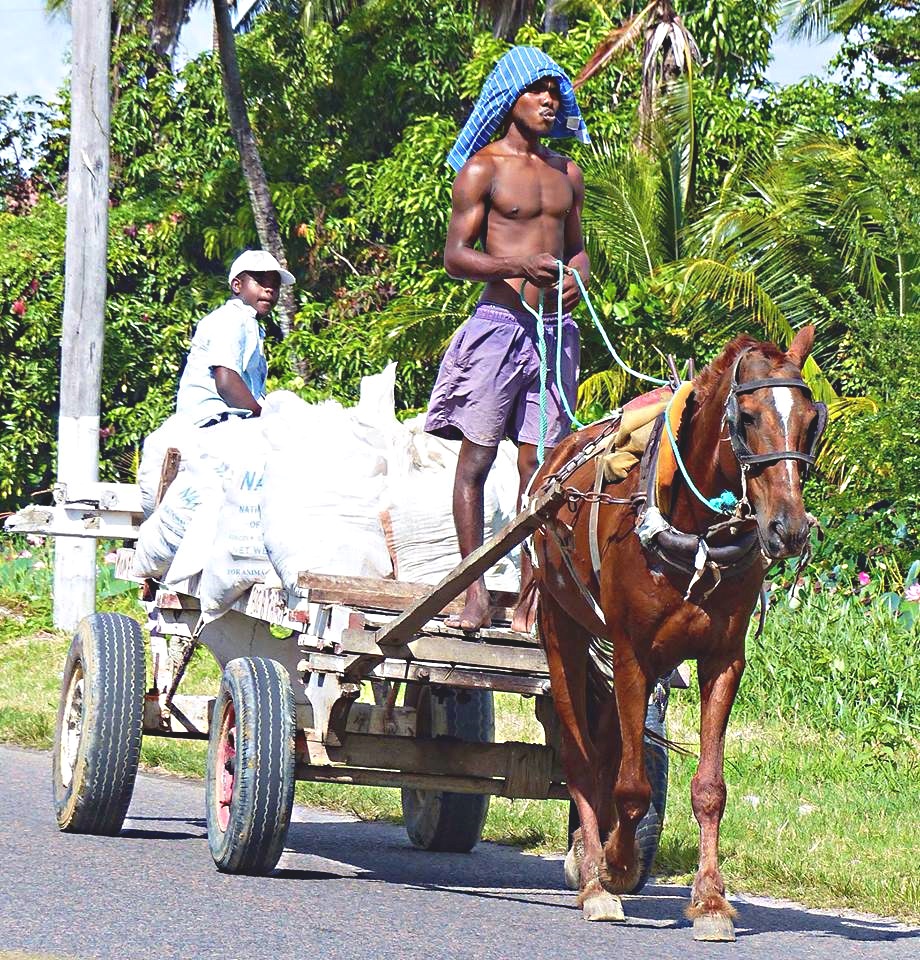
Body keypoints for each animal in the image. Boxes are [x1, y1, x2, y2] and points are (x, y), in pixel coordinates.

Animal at [528, 326, 824, 940]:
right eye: (747, 417)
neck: (696, 533)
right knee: (581, 759)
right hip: (562, 630)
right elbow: (631, 785)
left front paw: (710, 901)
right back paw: (594, 880)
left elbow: (709, 789)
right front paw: (618, 866)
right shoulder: (631, 656)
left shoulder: (722, 660)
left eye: (811, 420)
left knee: (607, 749)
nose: (788, 529)